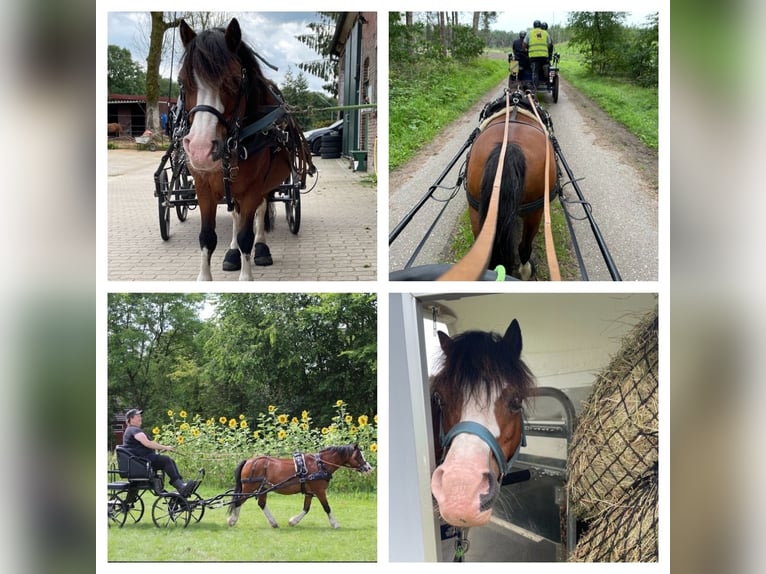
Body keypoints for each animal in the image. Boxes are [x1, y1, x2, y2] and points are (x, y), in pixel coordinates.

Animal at [178, 18, 314, 281]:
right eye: (182, 81)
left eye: (233, 81)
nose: (200, 149)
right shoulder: (203, 187)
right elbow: (208, 237)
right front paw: (207, 274)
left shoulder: (253, 189)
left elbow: (246, 236)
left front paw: (247, 272)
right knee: (236, 215)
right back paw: (231, 253)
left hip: (266, 185)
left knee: (260, 212)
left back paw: (261, 248)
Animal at [227, 444, 373, 529]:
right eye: (359, 456)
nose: (369, 468)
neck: (320, 464)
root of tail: (249, 460)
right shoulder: (320, 491)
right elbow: (327, 507)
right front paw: (335, 524)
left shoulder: (310, 492)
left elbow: (306, 508)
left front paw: (293, 521)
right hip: (249, 488)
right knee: (238, 501)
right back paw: (232, 520)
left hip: (263, 488)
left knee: (261, 504)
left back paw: (273, 523)